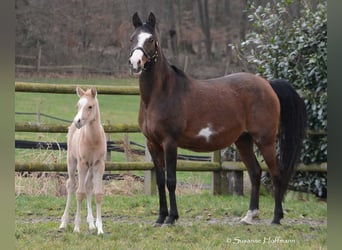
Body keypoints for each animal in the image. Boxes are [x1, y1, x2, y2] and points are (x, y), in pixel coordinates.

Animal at [59, 86, 106, 234]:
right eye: (78, 105)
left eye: (90, 106)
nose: (77, 121)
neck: (93, 140)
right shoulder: (82, 164)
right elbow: (79, 193)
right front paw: (76, 227)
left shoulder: (99, 164)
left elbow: (98, 194)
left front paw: (100, 228)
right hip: (71, 162)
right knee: (71, 185)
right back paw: (63, 223)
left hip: (90, 168)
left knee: (88, 186)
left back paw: (91, 223)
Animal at [127, 12, 306, 225]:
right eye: (132, 38)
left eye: (151, 40)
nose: (135, 63)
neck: (161, 94)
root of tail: (268, 84)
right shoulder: (153, 143)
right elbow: (161, 181)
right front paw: (160, 217)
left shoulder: (170, 142)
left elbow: (171, 180)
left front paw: (171, 218)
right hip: (243, 140)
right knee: (255, 172)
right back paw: (249, 215)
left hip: (265, 140)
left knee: (276, 173)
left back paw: (276, 218)